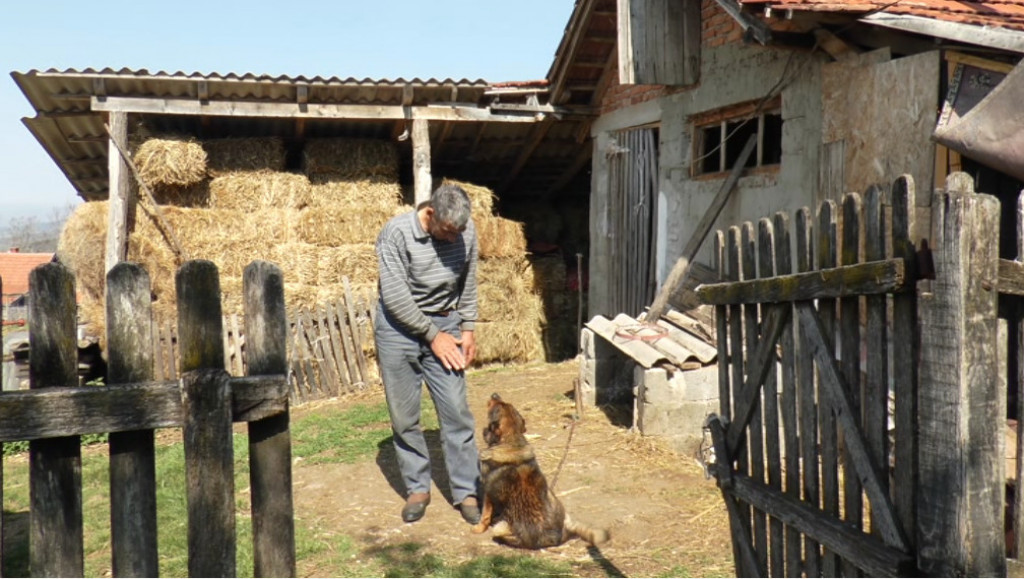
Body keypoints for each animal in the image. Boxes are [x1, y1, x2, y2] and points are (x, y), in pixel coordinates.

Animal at [471, 391, 606, 549]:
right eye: (506, 404)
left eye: (497, 407)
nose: (495, 394)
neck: (511, 441)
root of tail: (555, 537)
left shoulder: (487, 492)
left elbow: (484, 515)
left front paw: (478, 528)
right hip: (553, 497)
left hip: (501, 529)